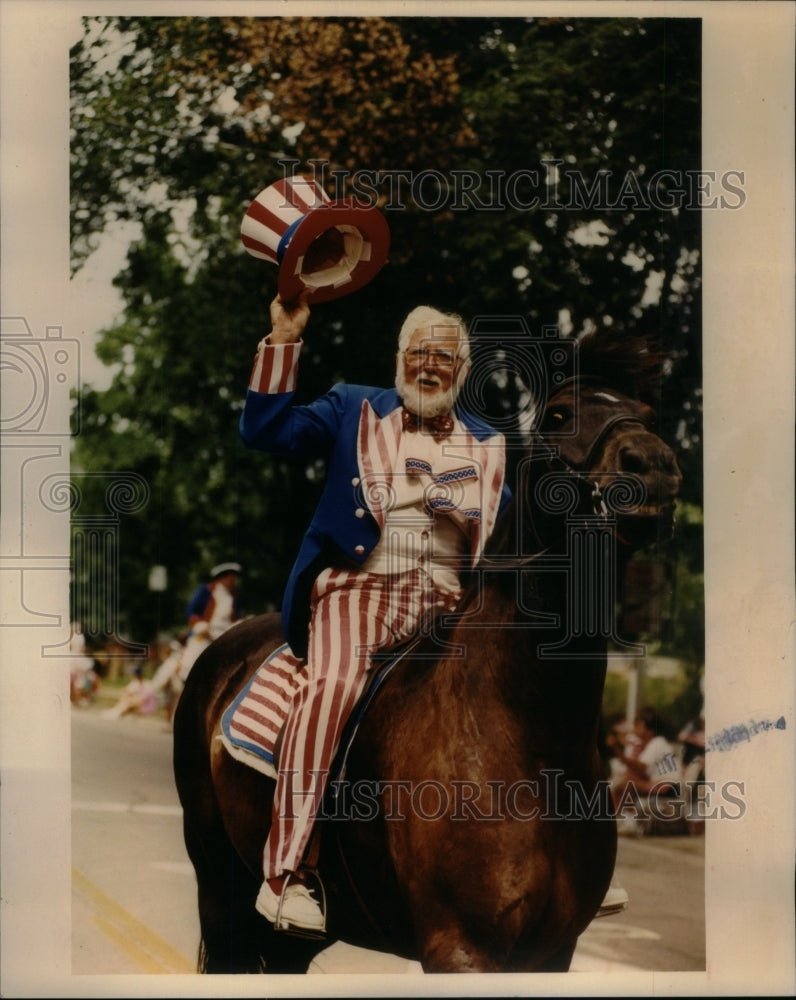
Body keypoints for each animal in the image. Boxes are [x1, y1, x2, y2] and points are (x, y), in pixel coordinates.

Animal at [173, 328, 676, 968]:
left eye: (651, 415)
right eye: (561, 415)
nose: (653, 468)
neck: (535, 734)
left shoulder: (552, 950)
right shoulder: (461, 947)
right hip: (216, 880)